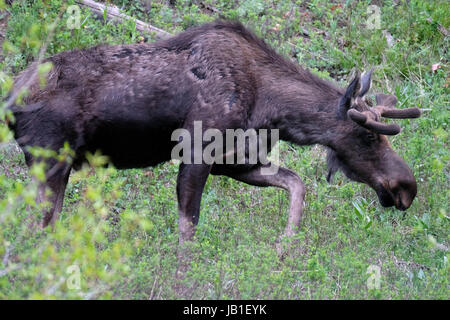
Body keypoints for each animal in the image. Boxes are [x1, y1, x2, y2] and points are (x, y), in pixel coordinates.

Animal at [6, 21, 422, 244]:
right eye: (368, 136)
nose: (407, 187)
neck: (271, 109)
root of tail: (10, 102)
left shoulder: (236, 161)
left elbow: (296, 182)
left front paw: (286, 244)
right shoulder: (196, 154)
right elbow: (187, 232)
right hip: (50, 163)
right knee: (34, 230)